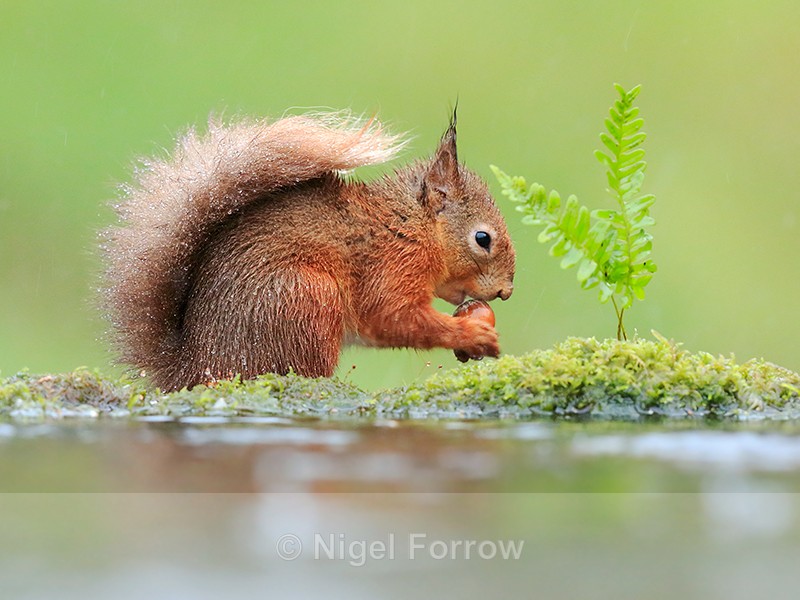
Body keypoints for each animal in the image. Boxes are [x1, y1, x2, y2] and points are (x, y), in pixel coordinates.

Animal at [102, 111, 516, 391]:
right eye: (483, 238)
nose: (506, 292)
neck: (410, 226)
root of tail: (194, 369)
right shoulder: (391, 268)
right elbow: (394, 318)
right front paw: (471, 335)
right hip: (309, 297)